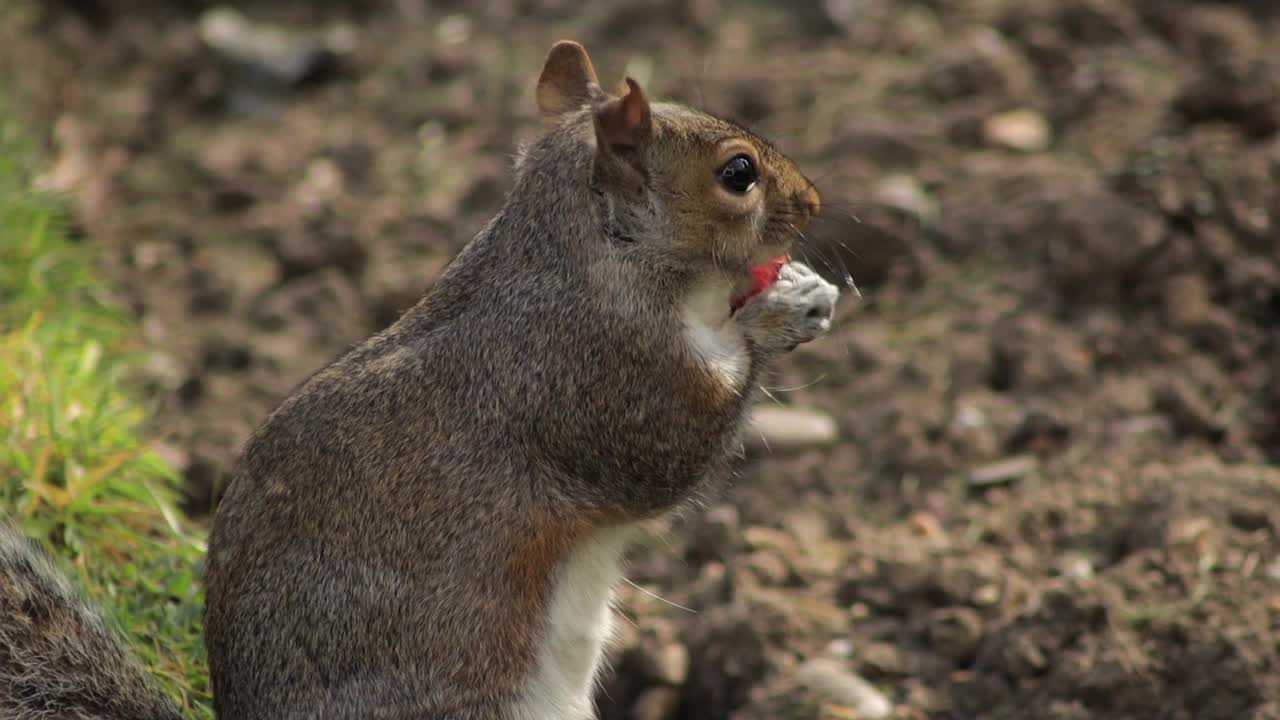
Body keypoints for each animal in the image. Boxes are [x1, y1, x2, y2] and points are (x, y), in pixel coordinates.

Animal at [0, 40, 838, 720]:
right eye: (739, 174)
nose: (816, 201)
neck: (583, 258)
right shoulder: (599, 383)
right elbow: (676, 455)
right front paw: (779, 311)